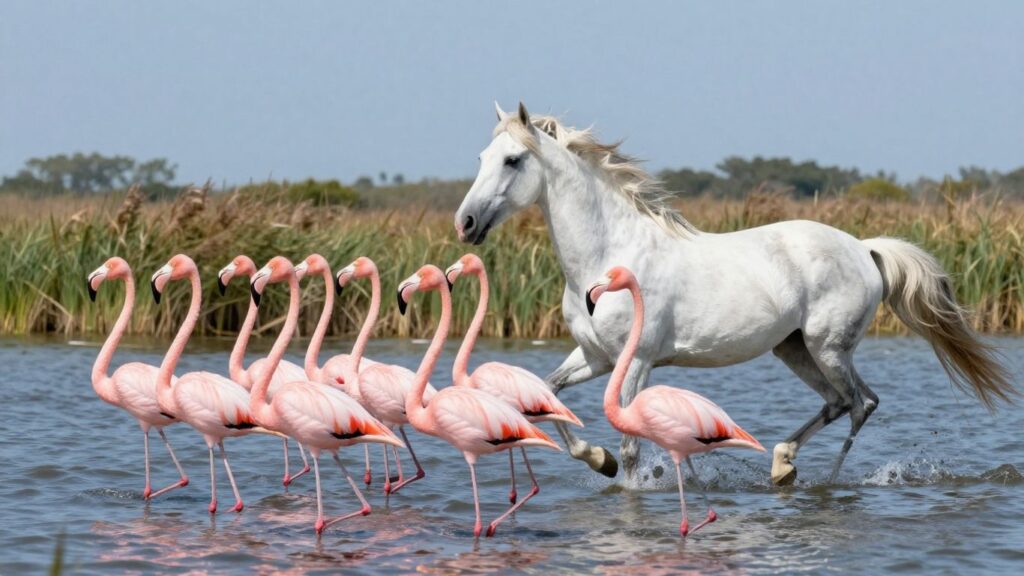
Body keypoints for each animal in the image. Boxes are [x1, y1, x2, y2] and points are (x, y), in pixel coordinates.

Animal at [453, 101, 1015, 485]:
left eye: (512, 160)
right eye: (480, 157)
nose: (466, 223)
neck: (608, 256)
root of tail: (864, 247)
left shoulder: (636, 363)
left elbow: (632, 445)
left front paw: (625, 487)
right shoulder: (594, 356)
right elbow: (546, 398)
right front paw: (599, 460)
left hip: (828, 346)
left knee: (860, 403)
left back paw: (813, 478)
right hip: (795, 348)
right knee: (846, 402)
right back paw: (784, 467)